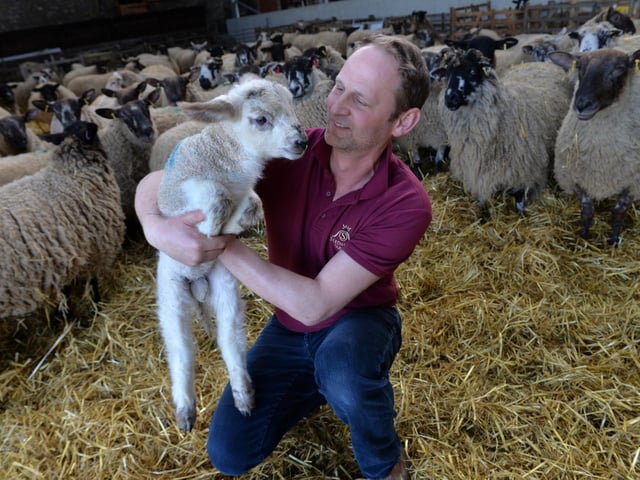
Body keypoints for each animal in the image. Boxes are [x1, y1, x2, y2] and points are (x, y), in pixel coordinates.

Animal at [0, 121, 125, 318]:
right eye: (92, 131)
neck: (72, 172)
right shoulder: (96, 249)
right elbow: (92, 283)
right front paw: (96, 307)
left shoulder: (68, 255)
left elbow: (66, 288)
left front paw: (64, 313)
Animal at [155, 76, 308, 431]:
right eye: (261, 119)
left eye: (293, 108)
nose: (302, 142)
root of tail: (197, 285)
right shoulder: (177, 191)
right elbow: (214, 195)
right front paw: (211, 228)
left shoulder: (247, 192)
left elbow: (252, 204)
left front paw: (232, 224)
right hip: (171, 293)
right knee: (181, 350)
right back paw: (185, 409)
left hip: (224, 287)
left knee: (229, 341)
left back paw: (243, 396)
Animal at [434, 48, 574, 215]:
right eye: (447, 73)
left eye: (472, 71)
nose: (450, 98)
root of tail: (542, 63)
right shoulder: (478, 172)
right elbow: (481, 199)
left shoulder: (523, 172)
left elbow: (519, 201)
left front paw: (522, 214)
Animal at [549, 48, 640, 246]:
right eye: (580, 67)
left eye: (620, 68)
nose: (582, 105)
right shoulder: (573, 177)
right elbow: (587, 210)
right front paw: (583, 236)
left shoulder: (633, 183)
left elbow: (618, 210)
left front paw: (613, 240)